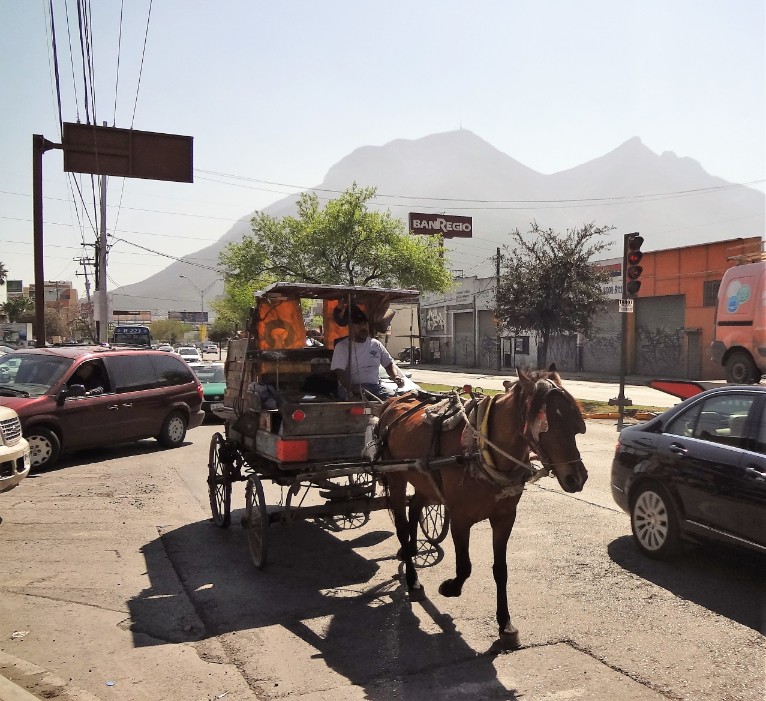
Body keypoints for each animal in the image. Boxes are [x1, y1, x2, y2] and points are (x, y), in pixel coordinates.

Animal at [376, 365, 588, 648]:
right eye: (546, 427)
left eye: (575, 425)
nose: (577, 478)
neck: (481, 449)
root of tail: (393, 402)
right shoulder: (460, 517)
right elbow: (465, 566)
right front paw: (451, 588)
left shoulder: (505, 518)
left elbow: (501, 570)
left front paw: (505, 624)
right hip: (396, 478)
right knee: (401, 524)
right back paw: (413, 580)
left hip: (424, 480)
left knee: (416, 509)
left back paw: (410, 549)